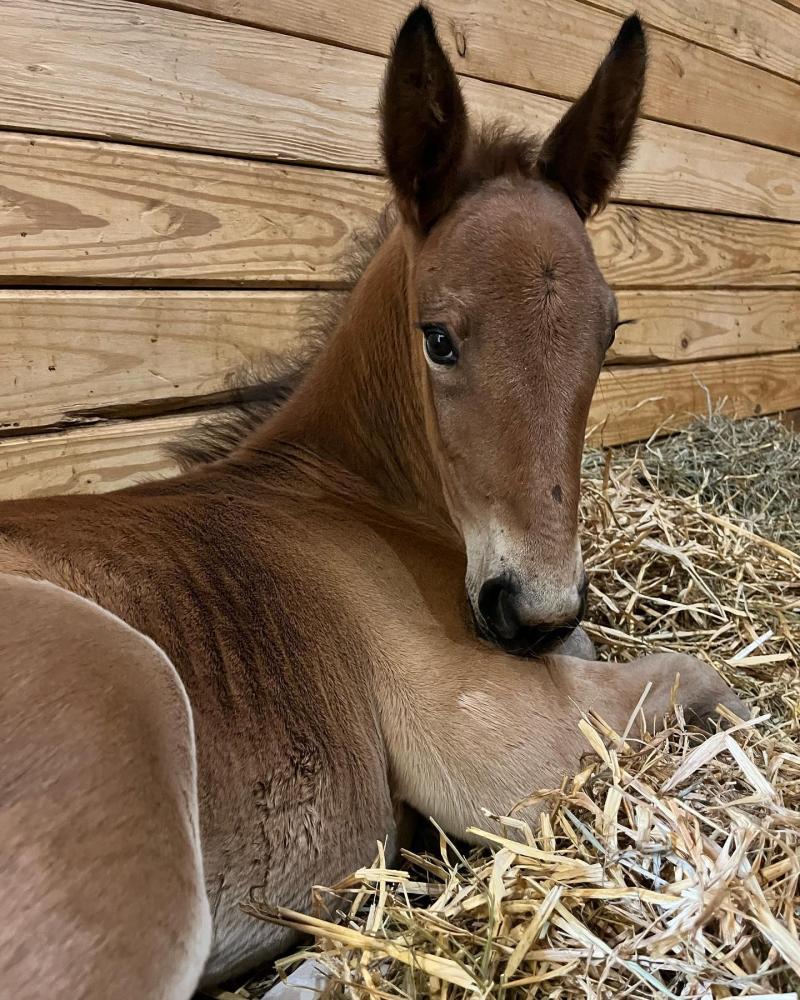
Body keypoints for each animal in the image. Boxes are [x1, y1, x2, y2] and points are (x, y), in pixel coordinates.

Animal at [0, 7, 744, 1000]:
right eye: (439, 339)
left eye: (610, 331)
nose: (535, 610)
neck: (350, 498)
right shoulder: (505, 747)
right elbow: (702, 677)